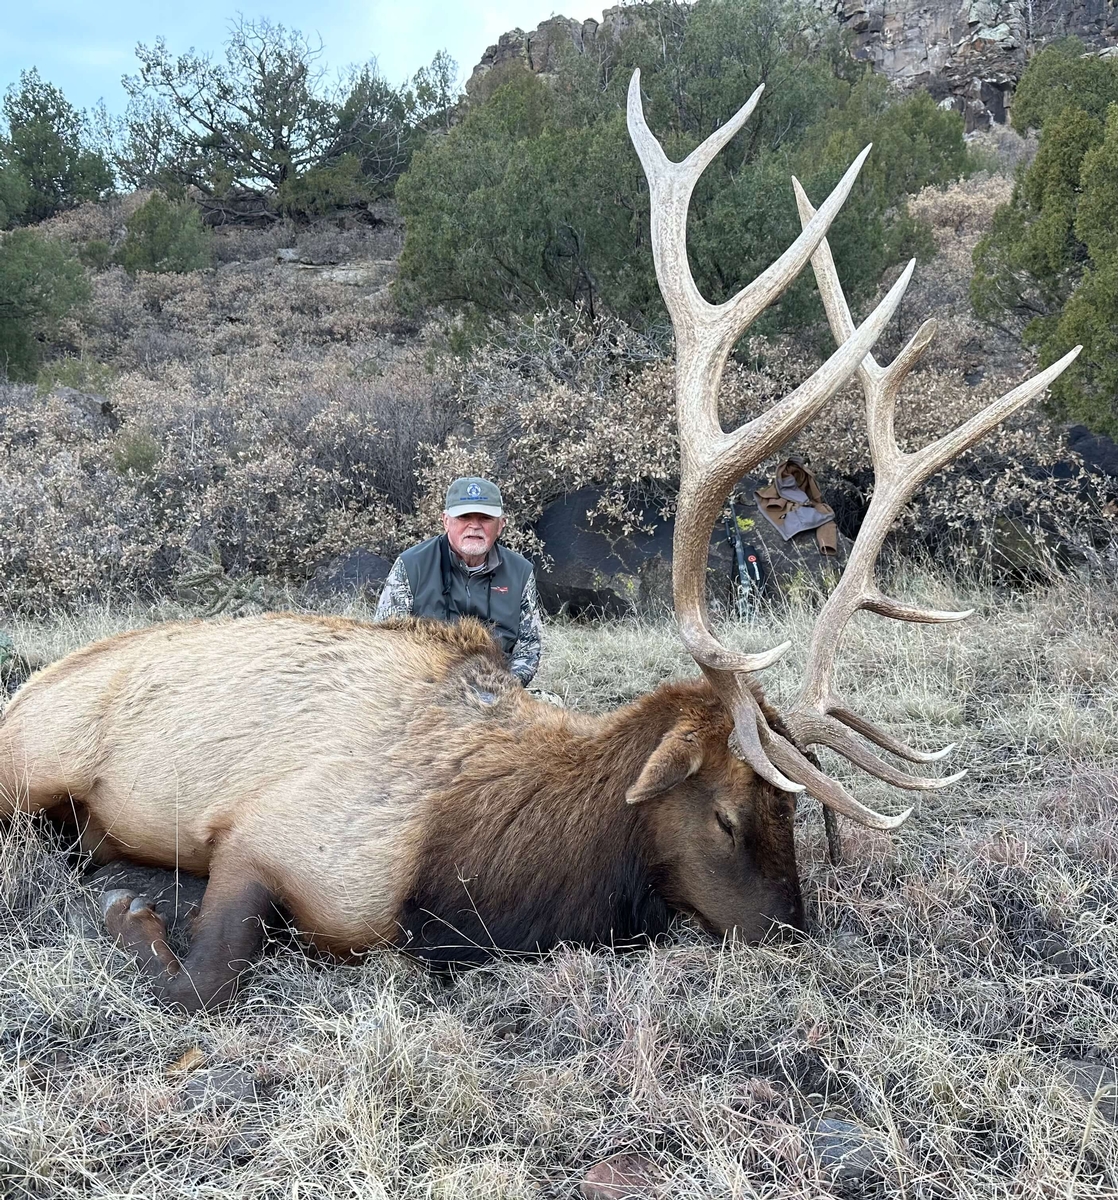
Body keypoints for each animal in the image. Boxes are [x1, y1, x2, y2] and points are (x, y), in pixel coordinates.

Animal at [0, 71, 1079, 1011]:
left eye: (798, 818)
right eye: (728, 812)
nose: (797, 937)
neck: (481, 879)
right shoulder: (277, 841)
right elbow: (204, 975)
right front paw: (132, 914)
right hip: (33, 763)